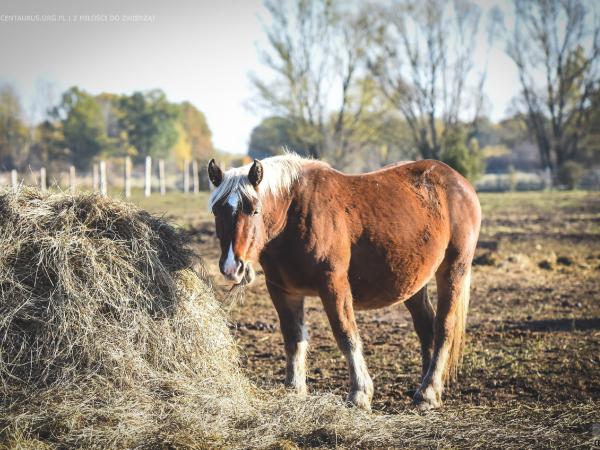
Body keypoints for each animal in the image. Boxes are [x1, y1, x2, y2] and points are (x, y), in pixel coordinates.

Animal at [209, 156, 480, 412]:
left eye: (254, 210)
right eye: (216, 211)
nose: (233, 267)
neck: (293, 213)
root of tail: (459, 182)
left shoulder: (333, 282)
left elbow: (345, 333)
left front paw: (359, 394)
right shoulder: (282, 290)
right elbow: (293, 337)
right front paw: (294, 389)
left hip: (453, 270)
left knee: (444, 327)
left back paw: (428, 393)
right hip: (414, 281)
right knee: (426, 327)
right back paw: (425, 387)